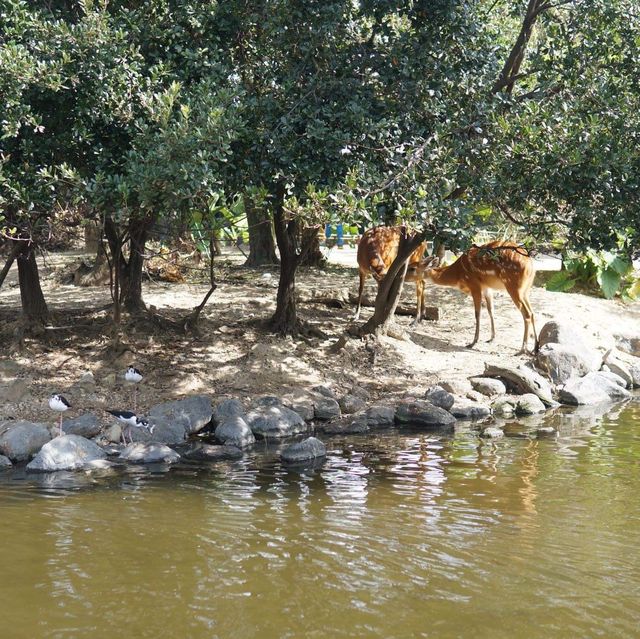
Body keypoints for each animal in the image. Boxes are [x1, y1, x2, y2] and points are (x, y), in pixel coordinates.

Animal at [408, 240, 536, 352]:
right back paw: (535, 347)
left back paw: (522, 349)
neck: (457, 275)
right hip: (525, 289)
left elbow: (477, 313)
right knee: (532, 312)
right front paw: (491, 338)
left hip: (514, 287)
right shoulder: (487, 288)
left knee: (527, 314)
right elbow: (491, 310)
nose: (403, 275)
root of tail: (530, 266)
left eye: (412, 268)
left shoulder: (475, 286)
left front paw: (473, 342)